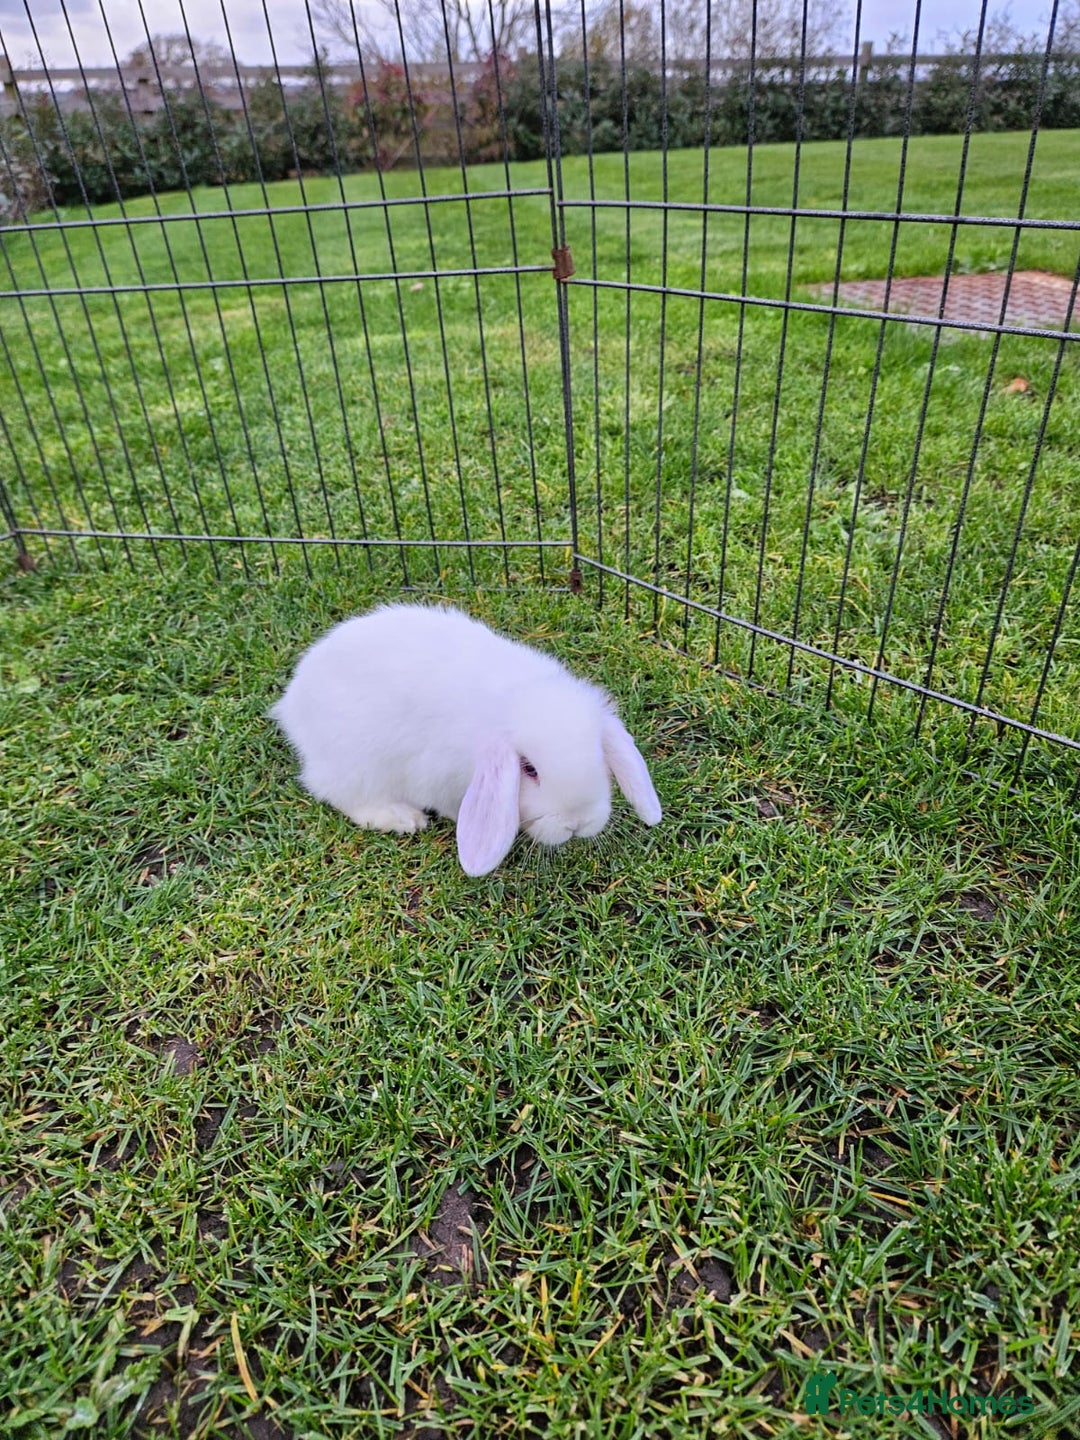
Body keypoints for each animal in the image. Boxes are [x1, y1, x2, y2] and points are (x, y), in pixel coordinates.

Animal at [269, 603, 662, 876]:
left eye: (598, 754)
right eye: (529, 769)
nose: (577, 823)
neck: (514, 701)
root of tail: (293, 702)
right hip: (356, 765)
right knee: (340, 795)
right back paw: (402, 819)